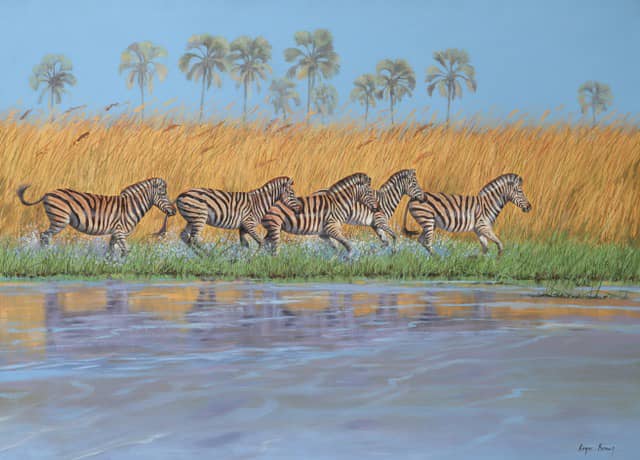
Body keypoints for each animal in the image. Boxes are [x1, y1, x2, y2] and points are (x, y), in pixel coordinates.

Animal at [17, 178, 176, 257]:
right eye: (163, 194)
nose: (174, 211)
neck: (130, 206)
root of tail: (47, 193)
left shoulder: (115, 233)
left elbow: (111, 250)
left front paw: (109, 264)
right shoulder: (120, 231)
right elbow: (125, 251)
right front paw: (124, 264)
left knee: (44, 235)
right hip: (59, 220)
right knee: (44, 235)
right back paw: (46, 254)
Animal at [163, 176, 301, 248]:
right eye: (292, 194)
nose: (299, 209)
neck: (259, 202)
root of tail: (181, 194)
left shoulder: (243, 227)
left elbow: (245, 244)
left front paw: (242, 261)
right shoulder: (249, 224)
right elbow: (261, 242)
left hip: (191, 219)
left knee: (185, 237)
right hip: (199, 218)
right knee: (194, 239)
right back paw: (209, 256)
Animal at [402, 173, 532, 255]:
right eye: (520, 191)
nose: (530, 207)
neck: (488, 204)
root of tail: (412, 198)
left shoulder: (478, 229)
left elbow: (485, 247)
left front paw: (475, 261)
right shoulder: (483, 226)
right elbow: (499, 244)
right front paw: (498, 261)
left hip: (430, 223)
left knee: (421, 241)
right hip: (427, 220)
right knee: (427, 242)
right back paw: (437, 260)